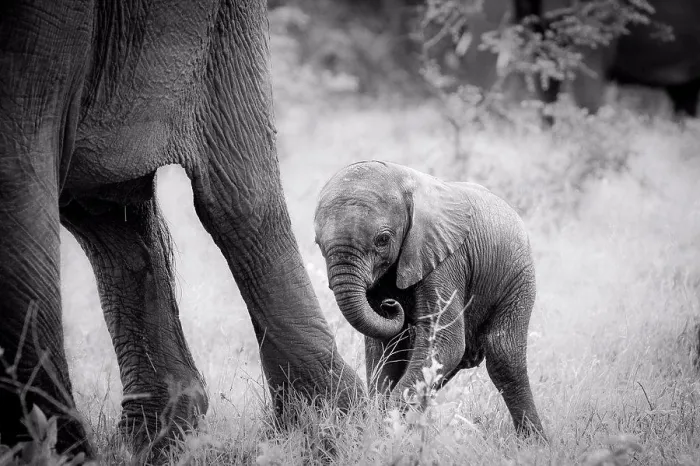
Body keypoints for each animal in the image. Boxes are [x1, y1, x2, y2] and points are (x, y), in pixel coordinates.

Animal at [0, 0, 364, 459]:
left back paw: (325, 429)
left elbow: (15, 178)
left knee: (239, 198)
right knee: (108, 209)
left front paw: (60, 455)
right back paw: (158, 437)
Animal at [313, 161, 545, 439]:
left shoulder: (445, 257)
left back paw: (535, 442)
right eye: (317, 243)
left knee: (504, 357)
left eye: (383, 240)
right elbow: (386, 348)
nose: (389, 305)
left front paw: (387, 428)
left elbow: (446, 343)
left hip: (518, 277)